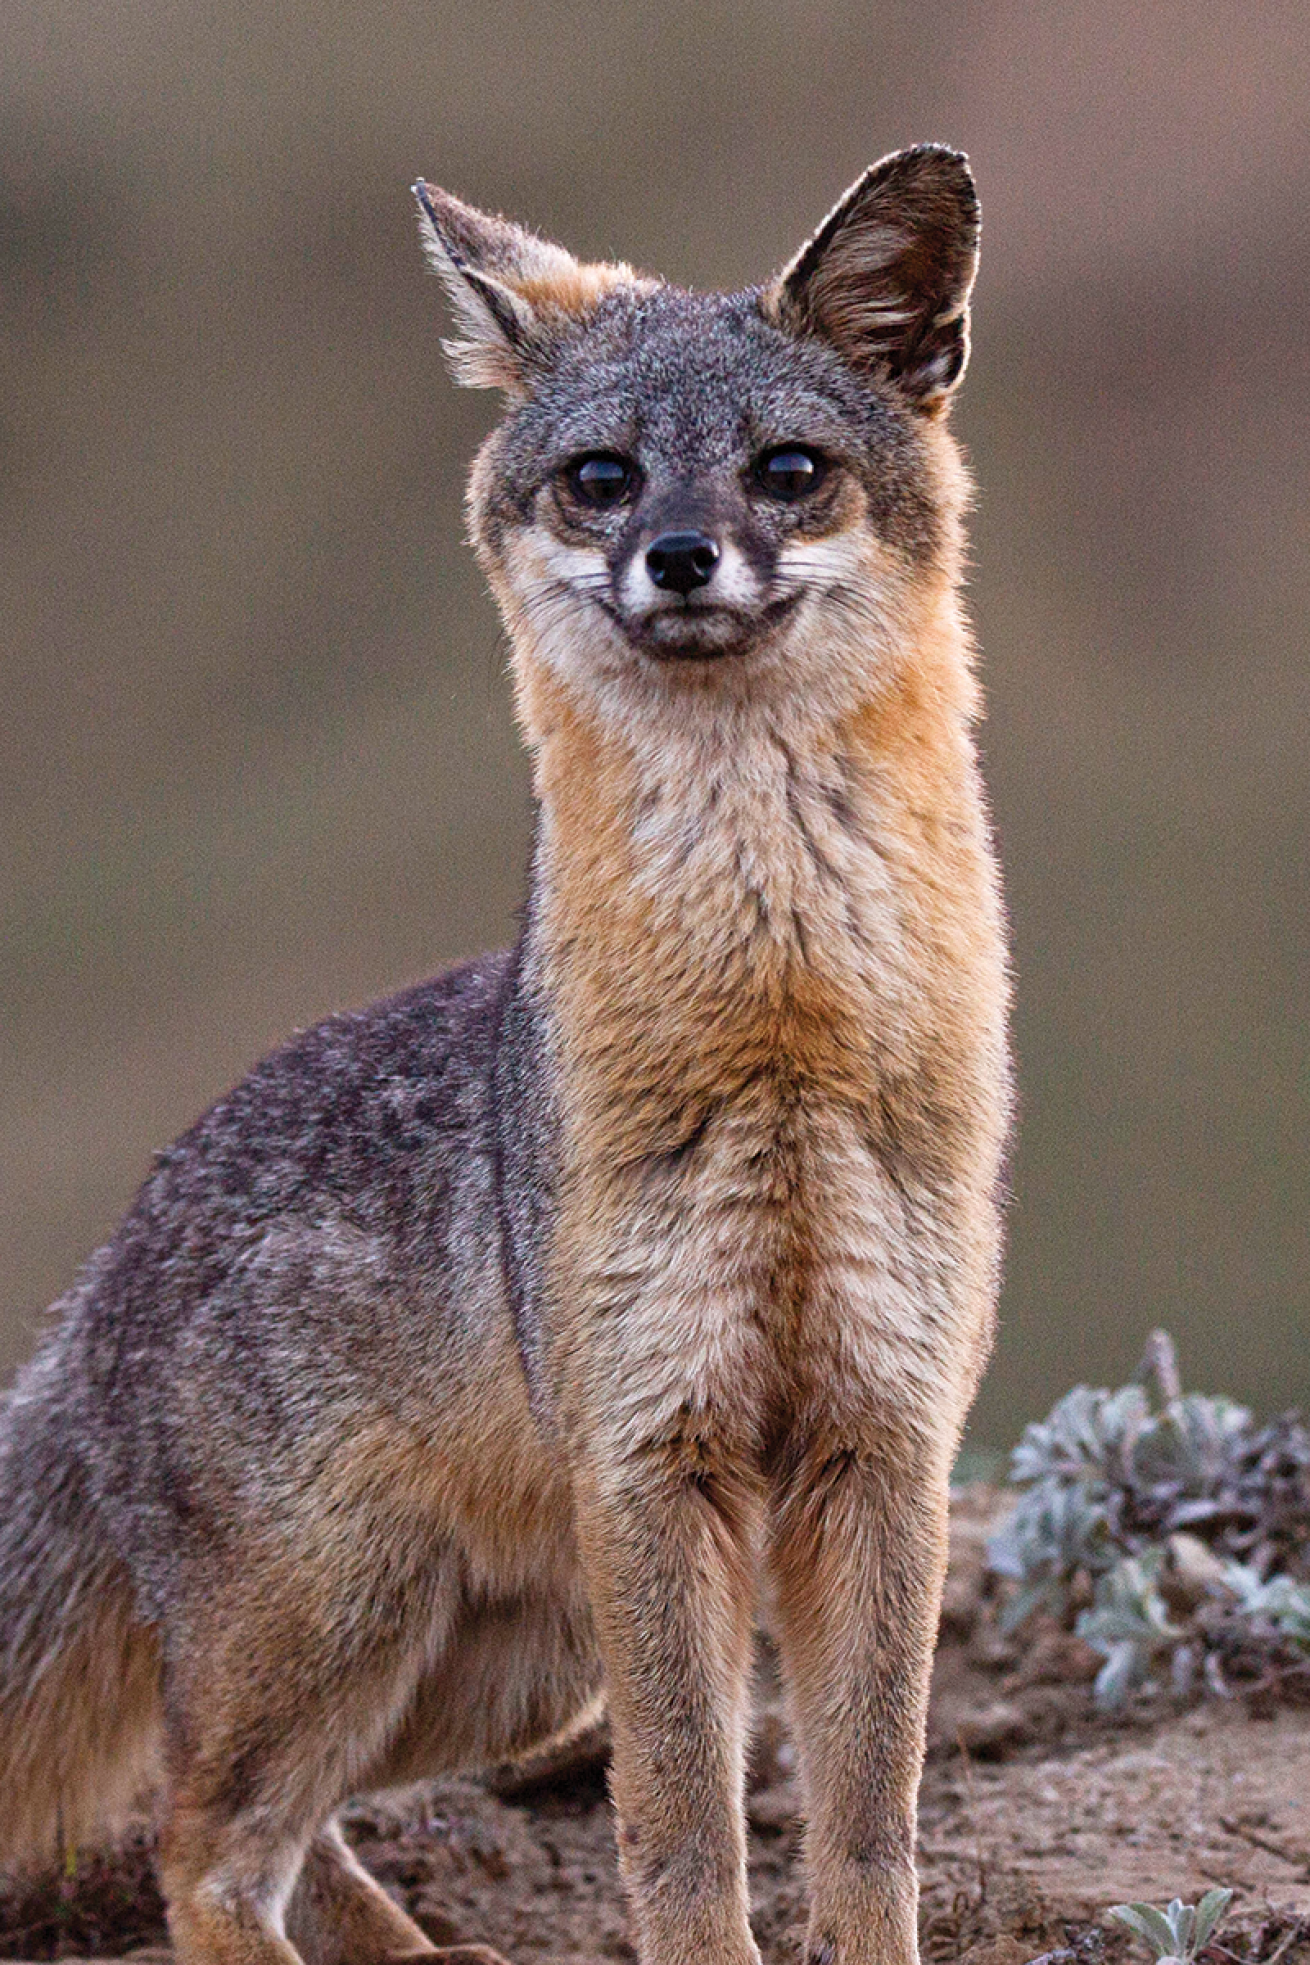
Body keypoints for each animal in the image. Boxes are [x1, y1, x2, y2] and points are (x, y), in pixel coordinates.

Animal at [0, 145, 1013, 1965]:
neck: (779, 1035)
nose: (679, 557)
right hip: (355, 1623)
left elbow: (865, 1827)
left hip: (500, 1670)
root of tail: (97, 1282)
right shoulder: (657, 1454)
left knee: (269, 1832)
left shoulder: (880, 1448)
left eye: (787, 471)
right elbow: (684, 1838)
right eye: (601, 480)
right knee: (192, 1837)